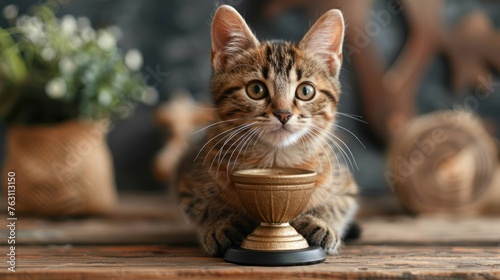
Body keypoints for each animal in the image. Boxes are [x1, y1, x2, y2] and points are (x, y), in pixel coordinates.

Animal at [178, 4, 358, 258]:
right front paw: (222, 223)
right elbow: (204, 205)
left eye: (306, 91)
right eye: (256, 89)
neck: (275, 161)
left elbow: (337, 203)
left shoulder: (346, 185)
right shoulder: (187, 183)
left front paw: (319, 222)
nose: (283, 114)